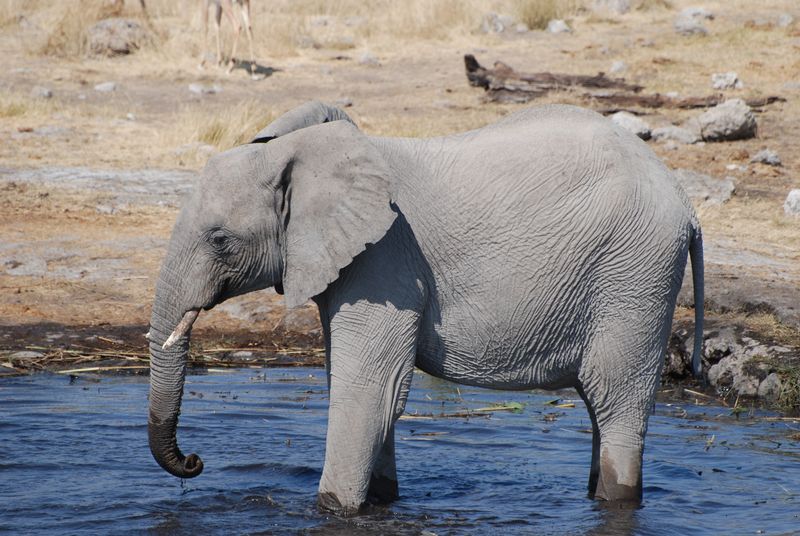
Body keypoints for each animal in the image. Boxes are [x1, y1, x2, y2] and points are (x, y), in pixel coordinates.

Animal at [147, 99, 704, 516]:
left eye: (220, 240)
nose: (195, 461)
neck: (300, 153)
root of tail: (686, 202)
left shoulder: (386, 257)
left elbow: (367, 391)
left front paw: (333, 509)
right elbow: (366, 392)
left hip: (635, 276)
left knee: (616, 403)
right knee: (601, 408)